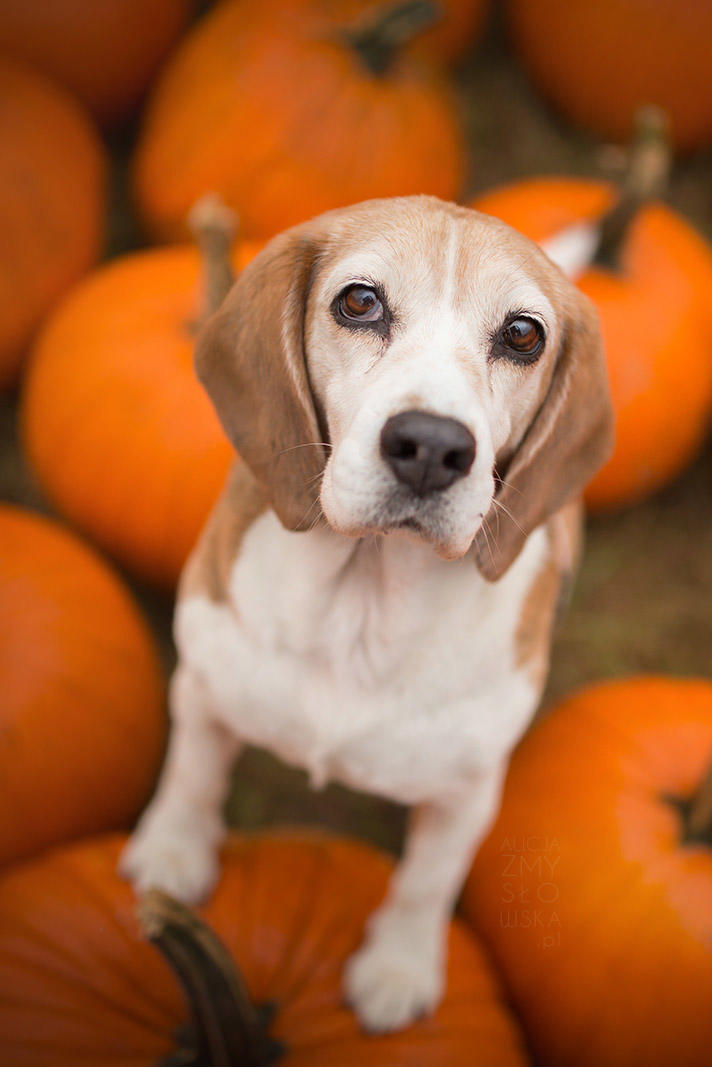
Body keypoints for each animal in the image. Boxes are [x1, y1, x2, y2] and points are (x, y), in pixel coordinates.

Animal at [121, 194, 614, 1032]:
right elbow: (191, 772)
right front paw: (172, 853)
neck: (362, 604)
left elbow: (426, 879)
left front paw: (400, 964)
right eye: (359, 302)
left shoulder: (467, 792)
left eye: (523, 334)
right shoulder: (203, 684)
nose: (432, 446)